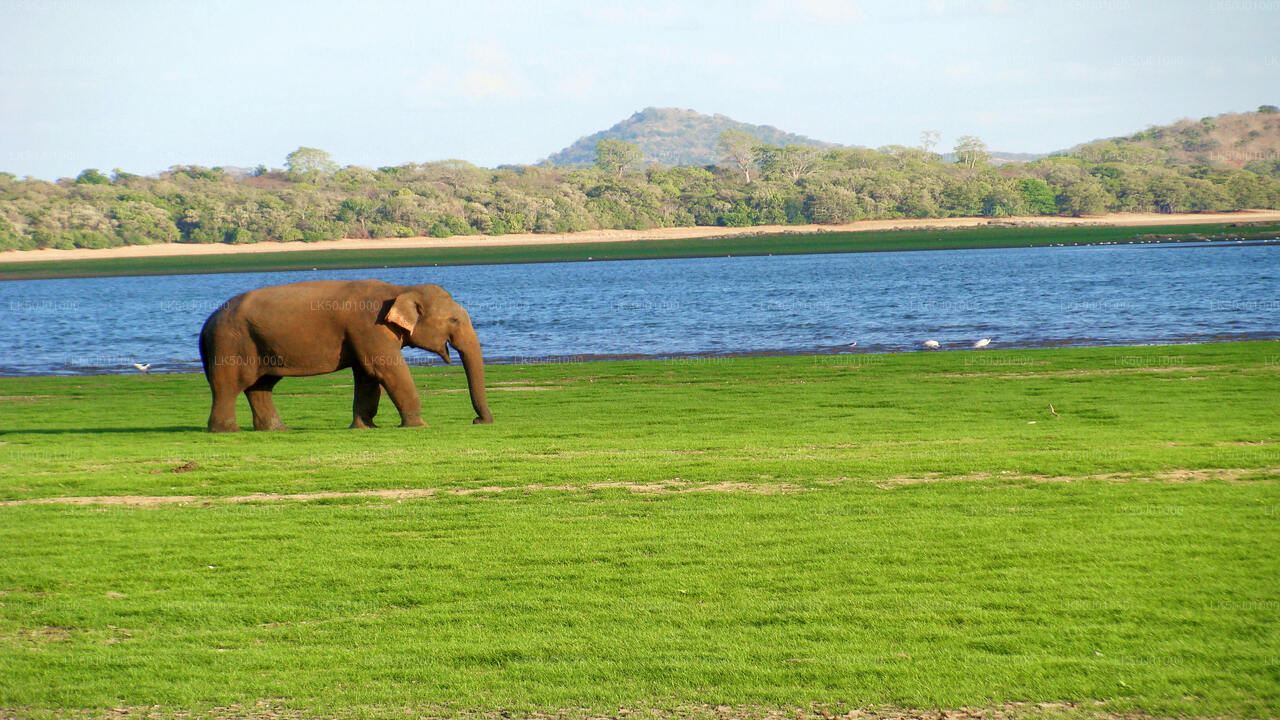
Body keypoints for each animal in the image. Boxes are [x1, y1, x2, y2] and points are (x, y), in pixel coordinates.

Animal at [197, 278, 491, 427]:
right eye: (454, 320)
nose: (478, 420)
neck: (401, 289)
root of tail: (207, 322)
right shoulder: (369, 327)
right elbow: (385, 369)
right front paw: (418, 426)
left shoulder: (362, 334)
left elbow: (367, 376)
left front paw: (365, 427)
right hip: (230, 344)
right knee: (229, 386)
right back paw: (225, 431)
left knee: (261, 386)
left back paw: (276, 429)